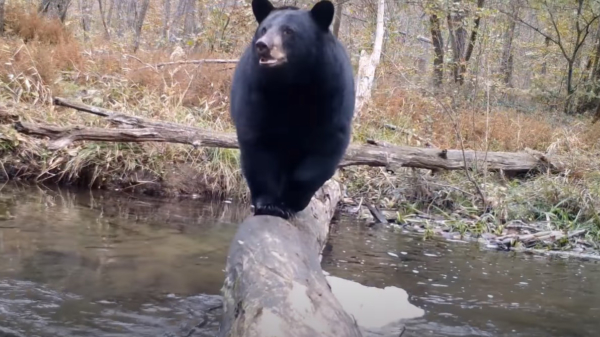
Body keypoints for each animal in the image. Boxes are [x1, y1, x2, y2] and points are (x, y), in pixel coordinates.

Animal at [229, 0, 352, 219]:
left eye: (288, 31)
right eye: (264, 29)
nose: (263, 45)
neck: (291, 84)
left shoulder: (332, 94)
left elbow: (324, 149)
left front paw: (292, 201)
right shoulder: (255, 92)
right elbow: (258, 146)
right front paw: (269, 204)